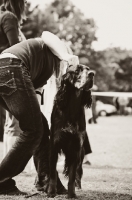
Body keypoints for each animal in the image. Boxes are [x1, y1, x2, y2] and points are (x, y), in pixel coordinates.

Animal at [47, 64, 94, 198]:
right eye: (77, 70)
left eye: (88, 69)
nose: (92, 74)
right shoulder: (54, 145)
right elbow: (53, 173)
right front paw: (51, 192)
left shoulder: (76, 147)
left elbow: (72, 175)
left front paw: (71, 193)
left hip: (81, 153)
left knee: (78, 170)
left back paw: (78, 185)